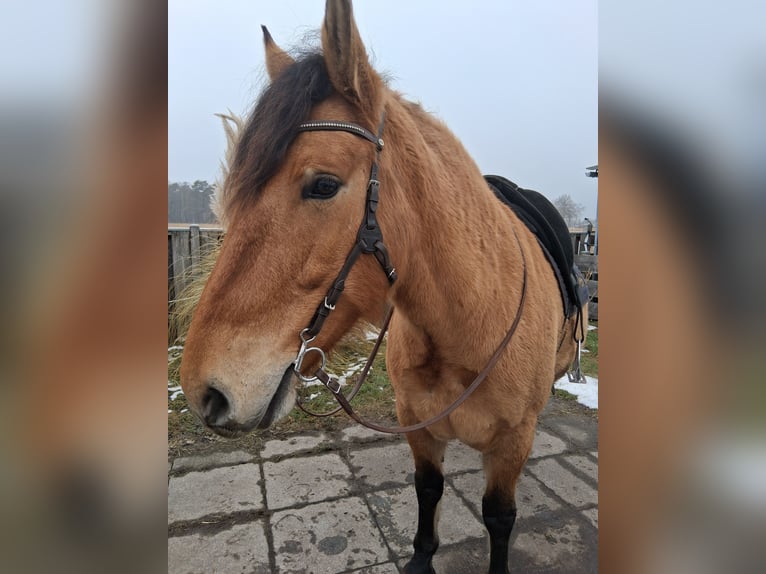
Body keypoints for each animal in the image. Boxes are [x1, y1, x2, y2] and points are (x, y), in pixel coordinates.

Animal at [180, 1, 587, 572]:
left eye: (324, 185)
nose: (205, 394)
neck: (468, 325)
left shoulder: (511, 445)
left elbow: (500, 518)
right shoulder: (417, 429)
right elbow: (428, 492)